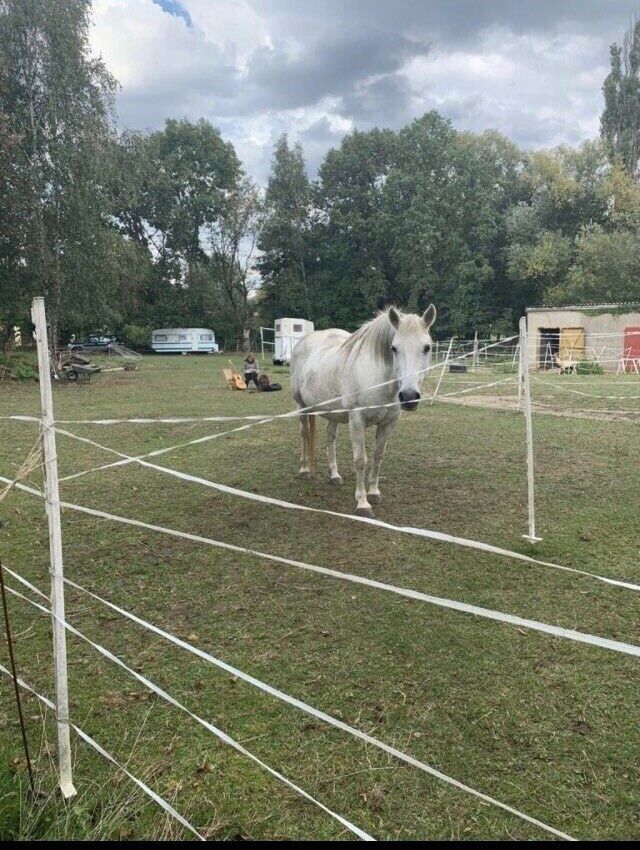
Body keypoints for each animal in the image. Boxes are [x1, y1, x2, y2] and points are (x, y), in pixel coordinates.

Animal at [288, 304, 436, 516]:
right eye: (394, 348)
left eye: (427, 347)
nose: (409, 397)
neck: (378, 380)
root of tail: (304, 341)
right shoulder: (357, 421)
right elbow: (360, 460)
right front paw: (363, 503)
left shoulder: (388, 424)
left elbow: (378, 456)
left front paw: (374, 492)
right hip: (302, 405)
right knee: (304, 433)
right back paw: (304, 470)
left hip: (333, 412)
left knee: (330, 437)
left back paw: (334, 475)